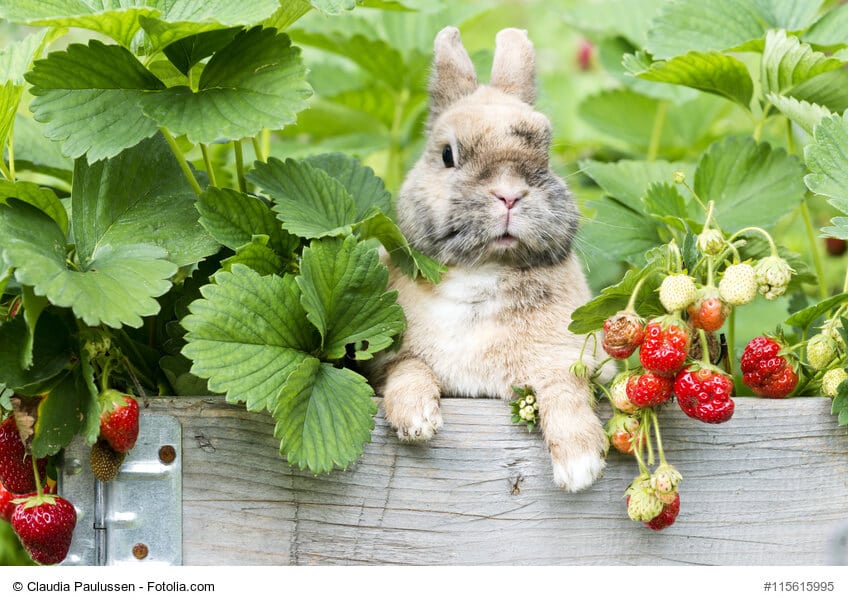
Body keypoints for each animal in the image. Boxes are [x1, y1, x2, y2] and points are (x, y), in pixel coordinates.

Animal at [368, 26, 608, 492]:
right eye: (448, 154)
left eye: (545, 153)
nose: (509, 194)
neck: (483, 270)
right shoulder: (392, 360)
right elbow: (409, 371)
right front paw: (416, 422)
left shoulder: (564, 359)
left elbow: (564, 391)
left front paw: (580, 466)